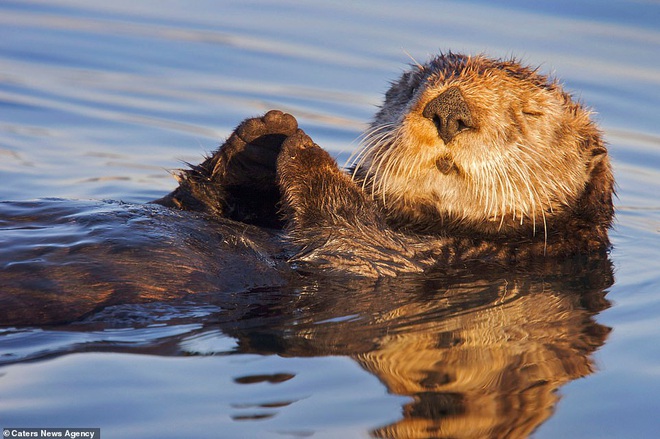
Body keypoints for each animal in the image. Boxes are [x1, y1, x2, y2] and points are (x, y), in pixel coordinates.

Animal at [155, 53, 612, 276]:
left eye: (530, 113)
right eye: (413, 87)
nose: (449, 111)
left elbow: (346, 241)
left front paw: (304, 149)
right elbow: (189, 201)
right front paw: (263, 136)